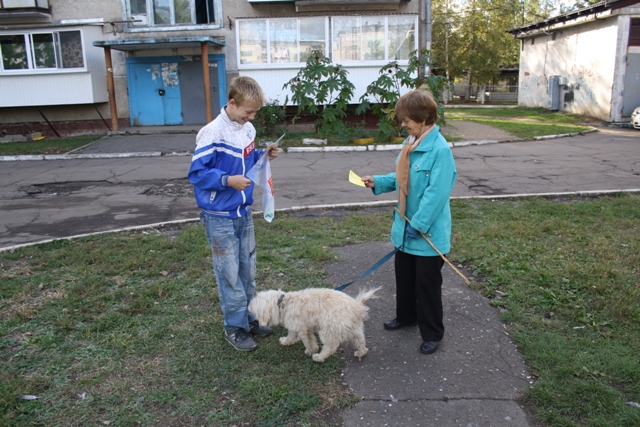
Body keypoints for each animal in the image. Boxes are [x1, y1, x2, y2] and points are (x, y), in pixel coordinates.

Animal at [249, 290, 380, 362]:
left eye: (254, 306)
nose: (247, 308)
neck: (283, 303)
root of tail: (357, 307)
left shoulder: (302, 328)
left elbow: (308, 341)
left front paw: (311, 350)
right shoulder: (295, 327)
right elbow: (291, 336)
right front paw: (286, 341)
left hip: (328, 330)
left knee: (331, 347)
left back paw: (319, 357)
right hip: (354, 329)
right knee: (360, 341)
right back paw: (361, 352)